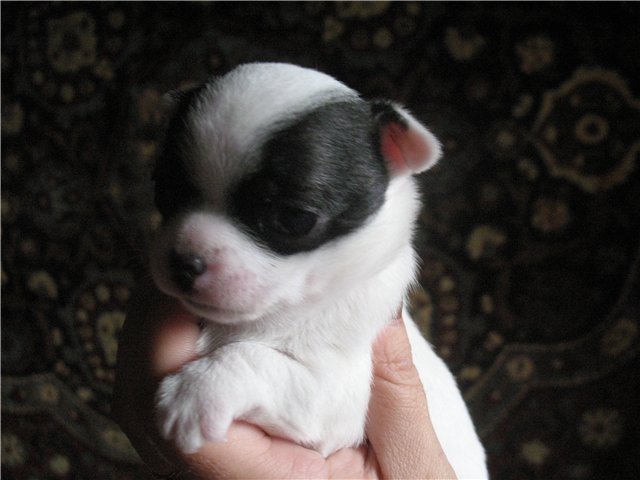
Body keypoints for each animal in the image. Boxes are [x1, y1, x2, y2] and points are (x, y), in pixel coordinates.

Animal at [150, 63, 487, 478]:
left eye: (293, 218)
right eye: (163, 190)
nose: (184, 261)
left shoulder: (334, 399)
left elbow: (254, 358)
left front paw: (196, 392)